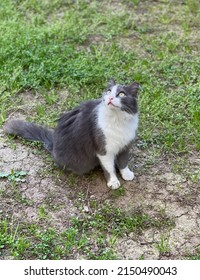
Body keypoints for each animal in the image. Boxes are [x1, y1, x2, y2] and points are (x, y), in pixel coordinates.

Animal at [3, 77, 140, 189]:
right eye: (108, 91)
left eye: (121, 94)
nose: (110, 98)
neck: (117, 120)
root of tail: (53, 143)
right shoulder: (103, 150)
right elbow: (109, 168)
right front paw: (113, 182)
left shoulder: (125, 145)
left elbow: (123, 162)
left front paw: (127, 174)